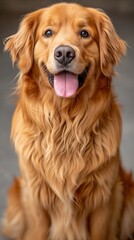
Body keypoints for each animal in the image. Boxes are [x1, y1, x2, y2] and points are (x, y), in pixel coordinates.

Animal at [1, 2, 134, 240]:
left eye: (84, 34)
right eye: (48, 33)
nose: (64, 53)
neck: (65, 122)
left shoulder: (104, 195)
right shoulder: (34, 194)